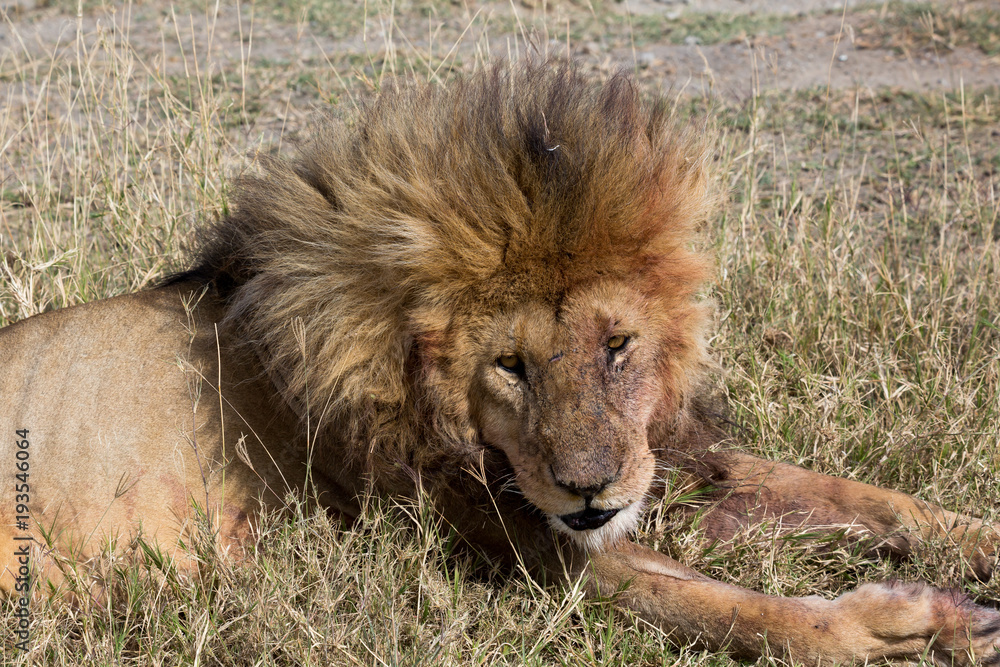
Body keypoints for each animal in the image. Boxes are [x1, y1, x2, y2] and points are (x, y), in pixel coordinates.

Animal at [1, 60, 999, 665]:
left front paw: (972, 542)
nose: (590, 492)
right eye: (510, 365)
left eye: (617, 345)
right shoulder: (497, 538)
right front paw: (906, 625)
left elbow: (854, 495)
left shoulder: (655, 464)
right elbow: (723, 606)